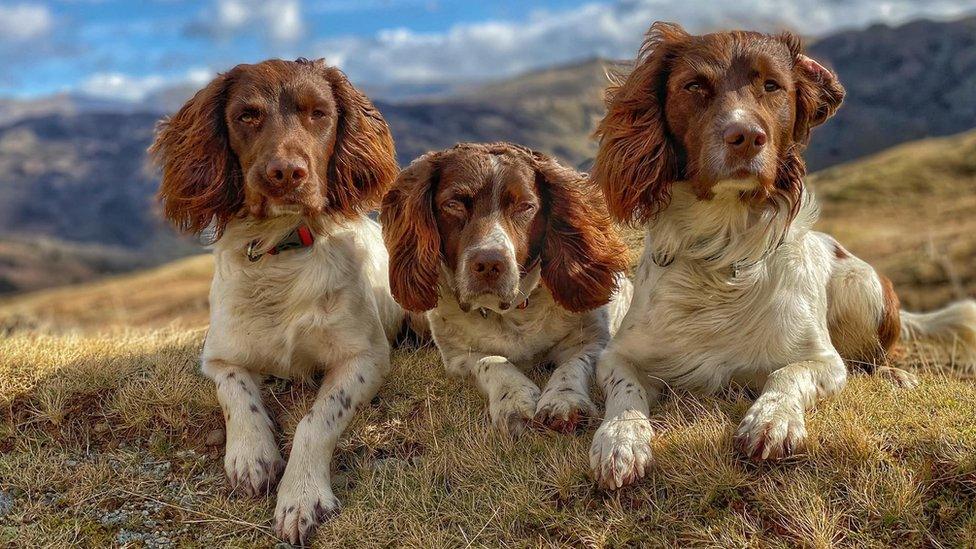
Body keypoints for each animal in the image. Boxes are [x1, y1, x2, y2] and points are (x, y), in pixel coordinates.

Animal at [149, 56, 408, 544]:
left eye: (318, 113)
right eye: (247, 116)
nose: (285, 173)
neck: (280, 254)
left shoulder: (365, 357)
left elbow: (316, 419)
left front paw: (301, 496)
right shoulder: (218, 357)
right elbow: (236, 393)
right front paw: (251, 456)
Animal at [378, 143, 636, 434]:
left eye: (525, 206)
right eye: (453, 204)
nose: (489, 263)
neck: (511, 313)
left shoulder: (593, 339)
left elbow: (572, 365)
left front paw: (564, 401)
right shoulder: (456, 357)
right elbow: (489, 361)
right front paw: (515, 399)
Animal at [584, 23, 972, 490]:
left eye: (772, 86)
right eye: (694, 86)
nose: (747, 137)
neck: (723, 250)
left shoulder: (823, 360)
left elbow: (787, 373)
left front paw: (772, 420)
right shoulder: (619, 354)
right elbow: (626, 391)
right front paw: (620, 440)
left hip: (863, 286)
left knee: (874, 357)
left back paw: (896, 375)